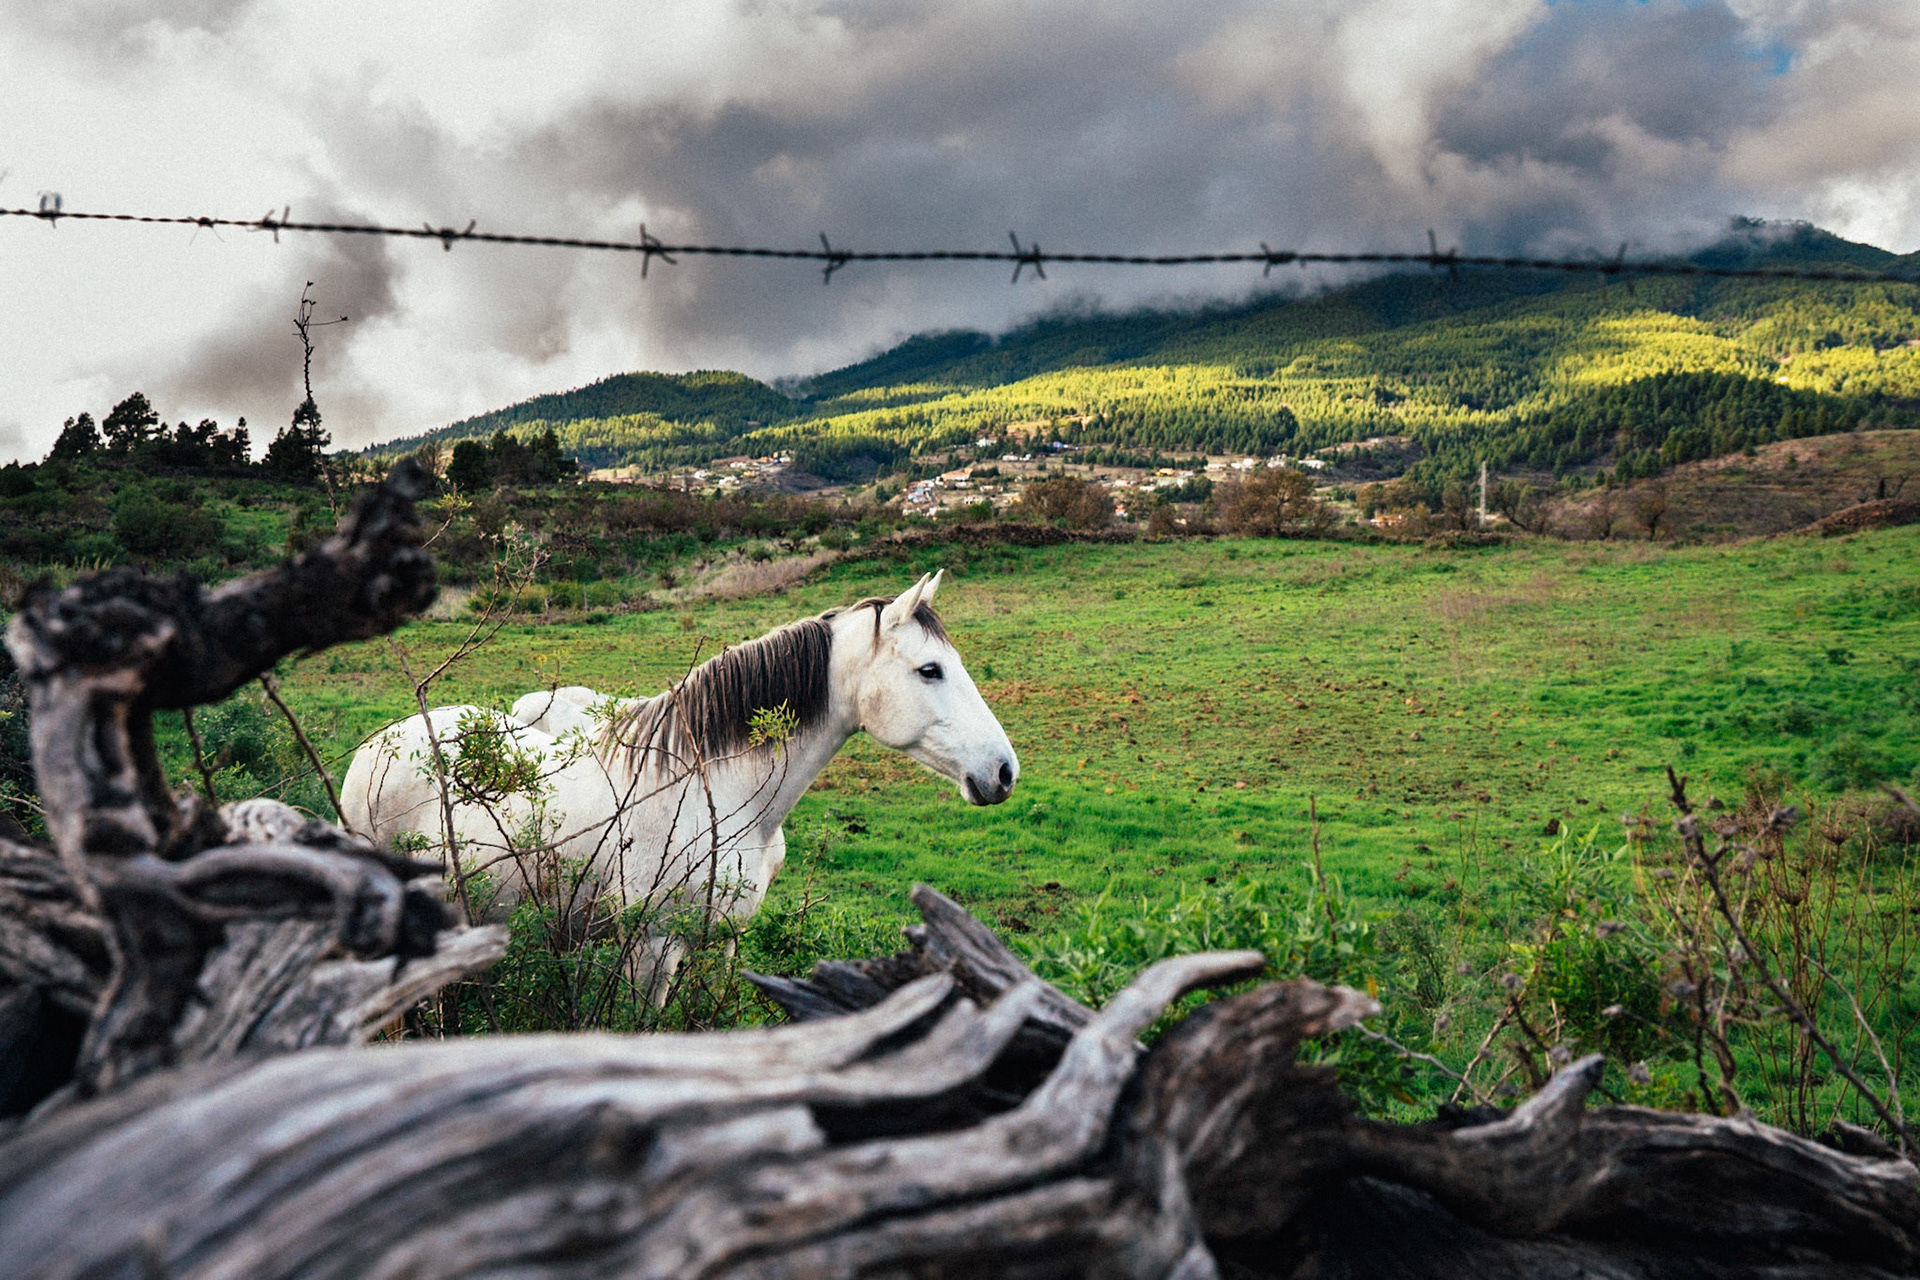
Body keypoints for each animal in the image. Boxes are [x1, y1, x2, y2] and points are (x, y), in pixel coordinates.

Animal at [339, 572, 1016, 980]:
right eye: (929, 670)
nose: (1004, 771)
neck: (723, 795)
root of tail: (373, 748)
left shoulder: (718, 942)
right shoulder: (652, 948)